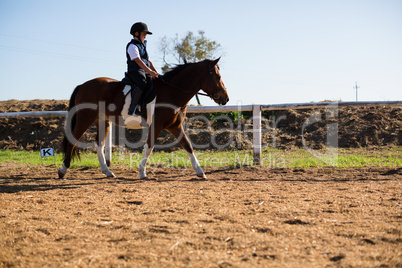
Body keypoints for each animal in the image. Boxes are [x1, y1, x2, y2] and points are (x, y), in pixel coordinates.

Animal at [57, 58, 228, 180]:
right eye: (218, 76)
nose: (225, 98)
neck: (172, 91)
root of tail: (82, 85)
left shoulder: (175, 126)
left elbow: (188, 146)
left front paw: (200, 172)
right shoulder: (156, 125)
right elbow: (149, 147)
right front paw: (142, 172)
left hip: (103, 121)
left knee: (98, 144)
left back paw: (107, 171)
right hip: (85, 118)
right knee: (73, 140)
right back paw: (62, 170)